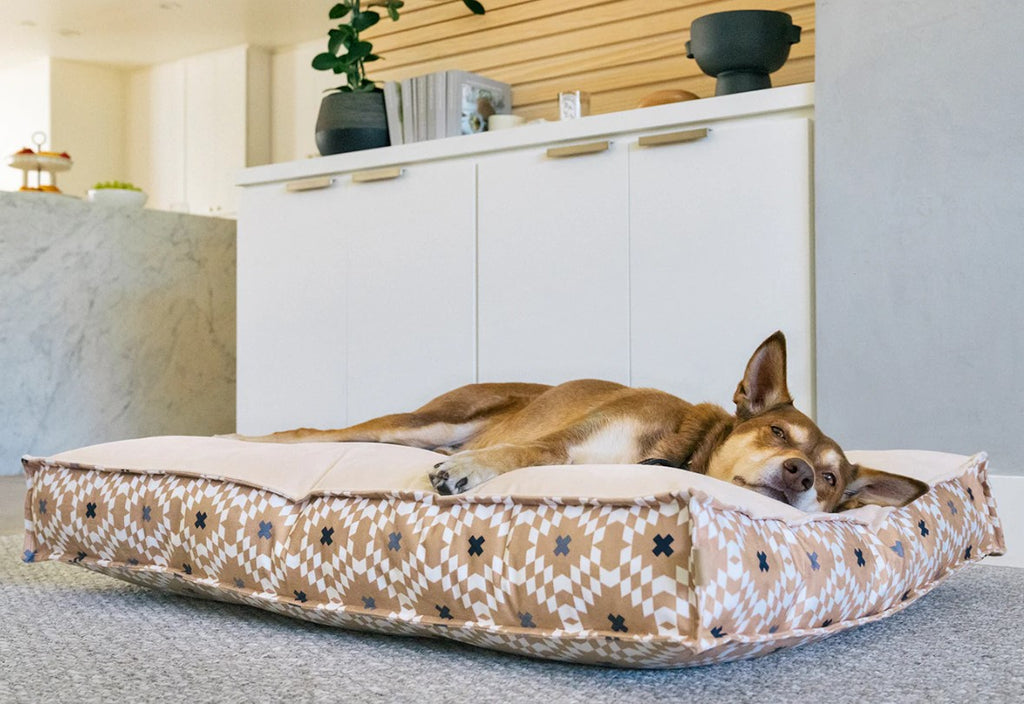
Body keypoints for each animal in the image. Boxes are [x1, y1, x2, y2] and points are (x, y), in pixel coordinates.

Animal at [237, 329, 929, 511]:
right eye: (780, 432)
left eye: (832, 480)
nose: (800, 475)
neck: (672, 452)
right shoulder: (570, 436)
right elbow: (534, 452)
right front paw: (470, 472)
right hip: (420, 424)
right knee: (310, 434)